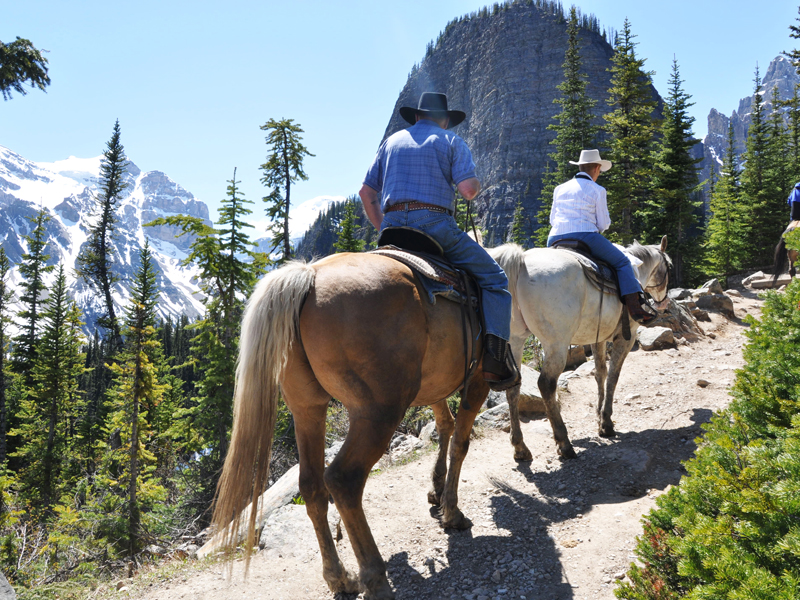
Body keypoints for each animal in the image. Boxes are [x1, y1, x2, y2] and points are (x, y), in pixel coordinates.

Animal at [209, 253, 490, 600]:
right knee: (344, 480)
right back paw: (374, 577)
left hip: (307, 409)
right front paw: (452, 513)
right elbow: (461, 442)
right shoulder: (479, 379)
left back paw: (340, 577)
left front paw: (437, 492)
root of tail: (309, 276)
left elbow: (445, 426)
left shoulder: (435, 386)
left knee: (312, 486)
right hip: (378, 413)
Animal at [488, 237, 668, 458]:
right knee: (546, 384)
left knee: (514, 387)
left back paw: (520, 447)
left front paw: (599, 417)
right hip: (556, 343)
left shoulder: (598, 337)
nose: (663, 303)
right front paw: (606, 422)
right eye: (669, 267)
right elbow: (614, 376)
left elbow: (600, 373)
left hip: (515, 340)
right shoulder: (627, 337)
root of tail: (521, 260)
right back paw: (564, 443)